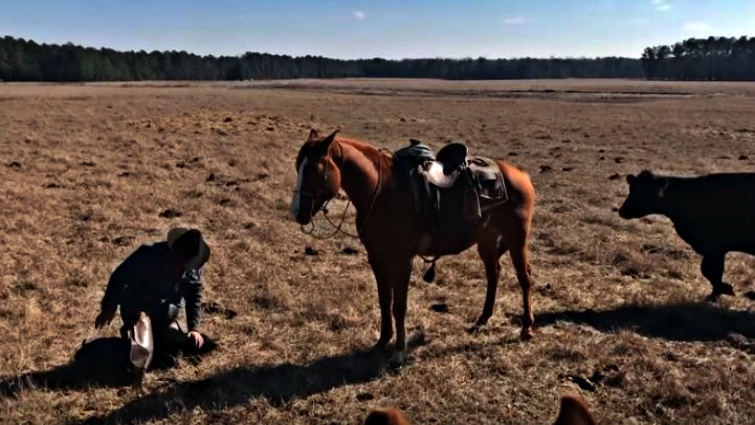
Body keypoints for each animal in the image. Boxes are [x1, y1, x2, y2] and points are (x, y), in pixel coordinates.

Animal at [289, 128, 536, 367]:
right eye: (298, 166)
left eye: (314, 170)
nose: (296, 213)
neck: (382, 192)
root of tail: (520, 175)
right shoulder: (376, 257)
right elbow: (384, 300)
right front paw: (382, 341)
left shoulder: (402, 259)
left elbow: (399, 306)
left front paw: (398, 353)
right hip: (486, 241)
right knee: (493, 274)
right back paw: (483, 319)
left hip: (517, 239)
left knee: (524, 279)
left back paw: (526, 328)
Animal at [618, 169, 755, 301]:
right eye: (631, 188)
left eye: (645, 192)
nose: (622, 211)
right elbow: (708, 271)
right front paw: (718, 292)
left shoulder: (714, 247)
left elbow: (709, 270)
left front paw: (724, 290)